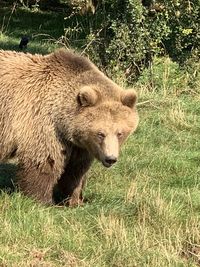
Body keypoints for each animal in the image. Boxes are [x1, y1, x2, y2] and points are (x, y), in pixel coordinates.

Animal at [0, 48, 139, 207]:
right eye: (100, 133)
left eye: (120, 133)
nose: (110, 159)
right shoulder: (43, 123)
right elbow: (46, 162)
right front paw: (43, 200)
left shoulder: (80, 145)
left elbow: (75, 170)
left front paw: (75, 200)